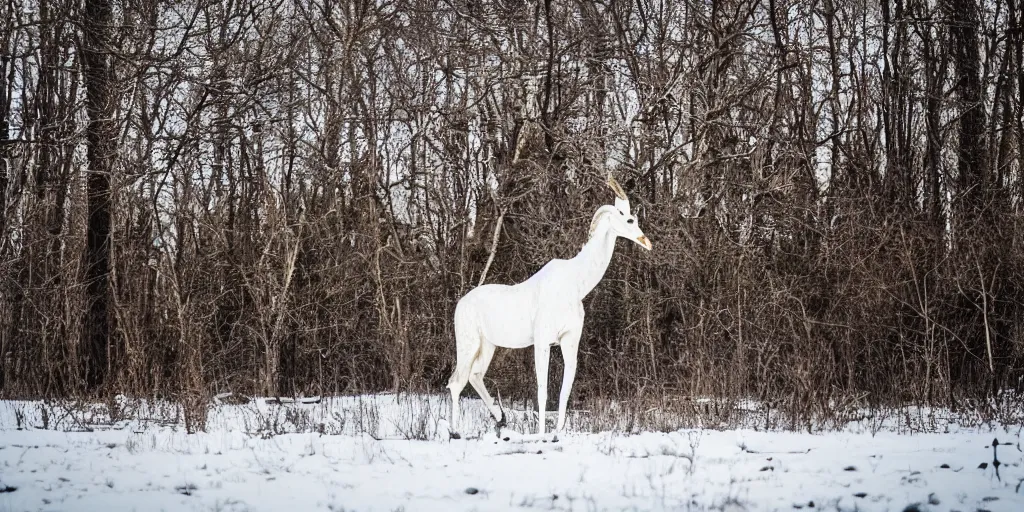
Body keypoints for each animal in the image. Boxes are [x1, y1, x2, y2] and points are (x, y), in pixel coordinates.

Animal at [446, 174, 651, 438]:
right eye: (629, 219)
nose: (647, 242)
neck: (578, 283)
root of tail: (459, 305)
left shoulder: (569, 338)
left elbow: (565, 390)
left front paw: (558, 431)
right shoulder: (542, 340)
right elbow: (542, 392)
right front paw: (542, 433)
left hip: (488, 344)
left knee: (474, 375)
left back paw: (500, 418)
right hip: (468, 342)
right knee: (455, 382)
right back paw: (455, 431)